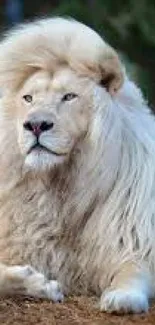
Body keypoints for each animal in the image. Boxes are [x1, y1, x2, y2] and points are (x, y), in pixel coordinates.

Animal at [0, 16, 154, 312]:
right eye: (28, 98)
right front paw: (37, 284)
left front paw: (122, 298)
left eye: (69, 96)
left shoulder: (134, 239)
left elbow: (132, 271)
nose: (35, 125)